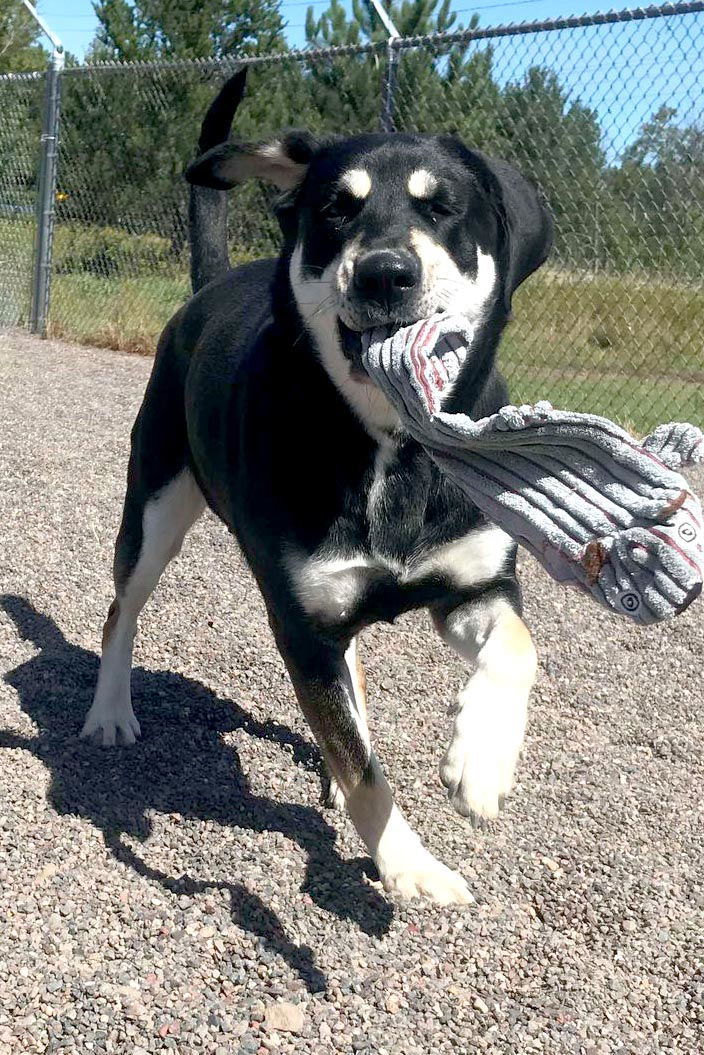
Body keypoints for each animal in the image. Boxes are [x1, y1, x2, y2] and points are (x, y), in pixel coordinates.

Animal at [82, 68, 553, 907]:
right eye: (337, 207)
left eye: (442, 207)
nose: (385, 273)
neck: (391, 448)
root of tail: (209, 287)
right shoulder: (300, 627)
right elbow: (367, 774)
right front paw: (410, 864)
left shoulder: (474, 583)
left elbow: (517, 647)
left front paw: (483, 759)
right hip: (156, 507)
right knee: (121, 612)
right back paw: (110, 709)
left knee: (354, 674)